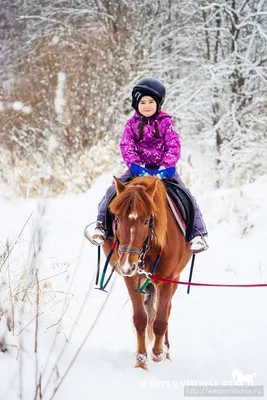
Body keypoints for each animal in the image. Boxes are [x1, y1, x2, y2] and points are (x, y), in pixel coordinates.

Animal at [102, 175, 193, 368]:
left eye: (145, 221)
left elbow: (160, 320)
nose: (127, 265)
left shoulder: (166, 280)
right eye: (117, 219)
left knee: (166, 311)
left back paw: (166, 351)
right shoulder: (132, 278)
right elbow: (140, 319)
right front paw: (141, 360)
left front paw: (158, 353)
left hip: (175, 279)